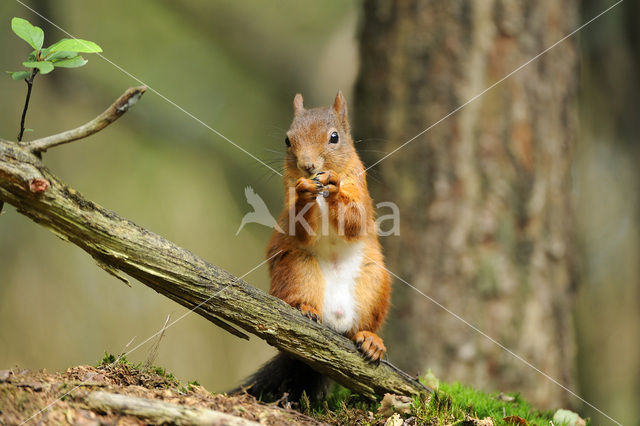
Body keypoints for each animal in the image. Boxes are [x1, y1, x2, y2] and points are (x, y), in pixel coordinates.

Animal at [240, 91, 390, 402]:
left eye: (334, 137)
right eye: (287, 139)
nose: (308, 165)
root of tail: (335, 321)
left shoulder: (360, 189)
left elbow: (355, 219)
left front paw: (333, 186)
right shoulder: (288, 204)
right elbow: (300, 227)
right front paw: (304, 191)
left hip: (373, 284)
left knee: (358, 330)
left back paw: (370, 339)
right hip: (297, 268)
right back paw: (305, 308)